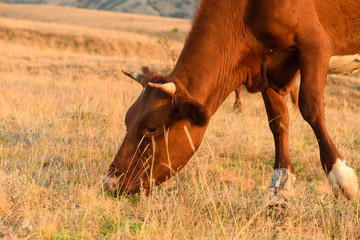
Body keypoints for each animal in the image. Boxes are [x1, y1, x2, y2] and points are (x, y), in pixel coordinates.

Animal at [104, 0, 360, 202]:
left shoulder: (315, 45)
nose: (110, 183)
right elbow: (278, 121)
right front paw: (281, 183)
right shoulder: (265, 68)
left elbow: (310, 107)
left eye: (152, 128)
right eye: (127, 120)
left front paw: (341, 177)